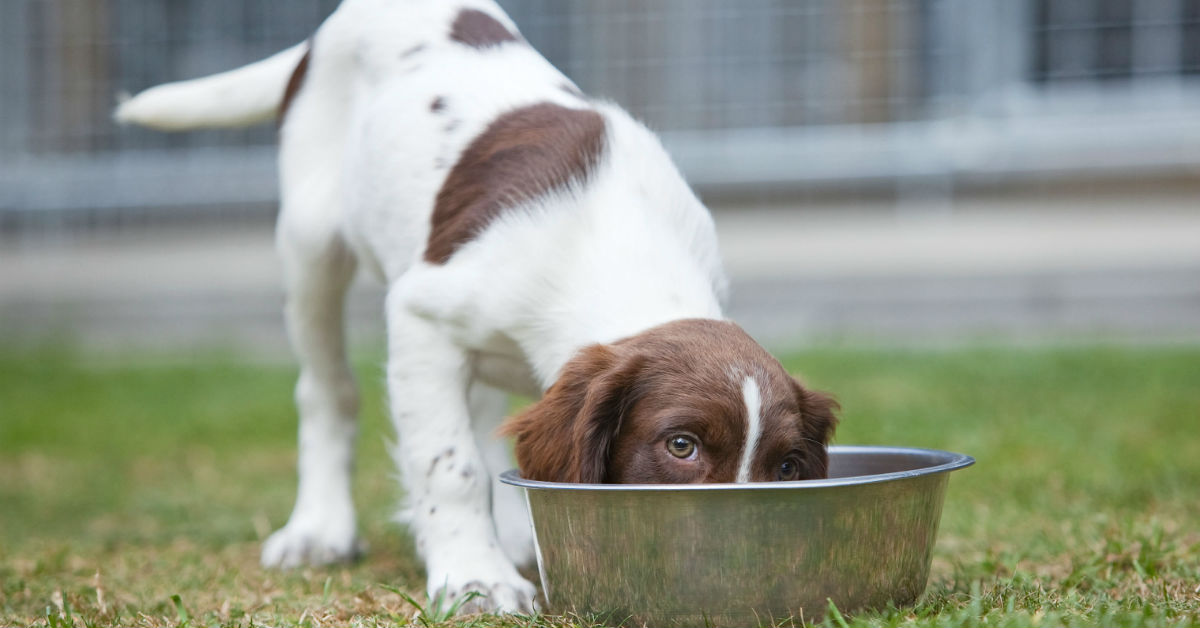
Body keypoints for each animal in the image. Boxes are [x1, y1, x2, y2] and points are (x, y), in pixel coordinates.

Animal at [117, 0, 840, 614]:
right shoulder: (422, 321)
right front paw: (475, 578)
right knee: (327, 391)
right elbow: (450, 466)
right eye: (681, 446)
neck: (626, 255)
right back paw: (319, 529)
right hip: (310, 243)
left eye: (788, 466)